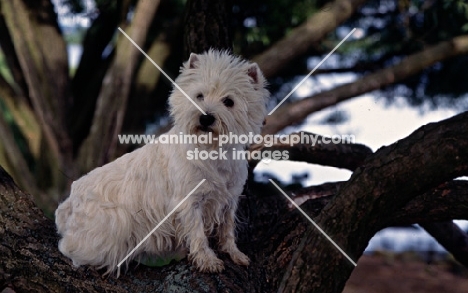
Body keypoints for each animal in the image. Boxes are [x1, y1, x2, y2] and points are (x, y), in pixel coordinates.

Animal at [54, 49, 268, 274]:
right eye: (199, 96)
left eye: (229, 101)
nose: (205, 118)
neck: (211, 151)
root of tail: (70, 199)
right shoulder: (189, 201)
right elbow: (197, 233)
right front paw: (208, 261)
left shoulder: (228, 199)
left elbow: (227, 229)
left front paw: (235, 254)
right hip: (110, 227)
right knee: (69, 246)